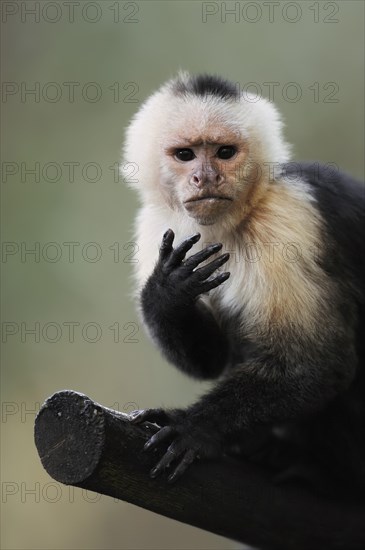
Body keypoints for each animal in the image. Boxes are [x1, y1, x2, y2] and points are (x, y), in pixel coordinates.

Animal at [123, 72, 364, 492]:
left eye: (224, 152)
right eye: (185, 155)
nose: (207, 177)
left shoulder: (288, 220)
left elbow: (314, 364)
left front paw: (194, 428)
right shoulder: (155, 226)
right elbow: (210, 361)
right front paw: (169, 293)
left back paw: (319, 470)